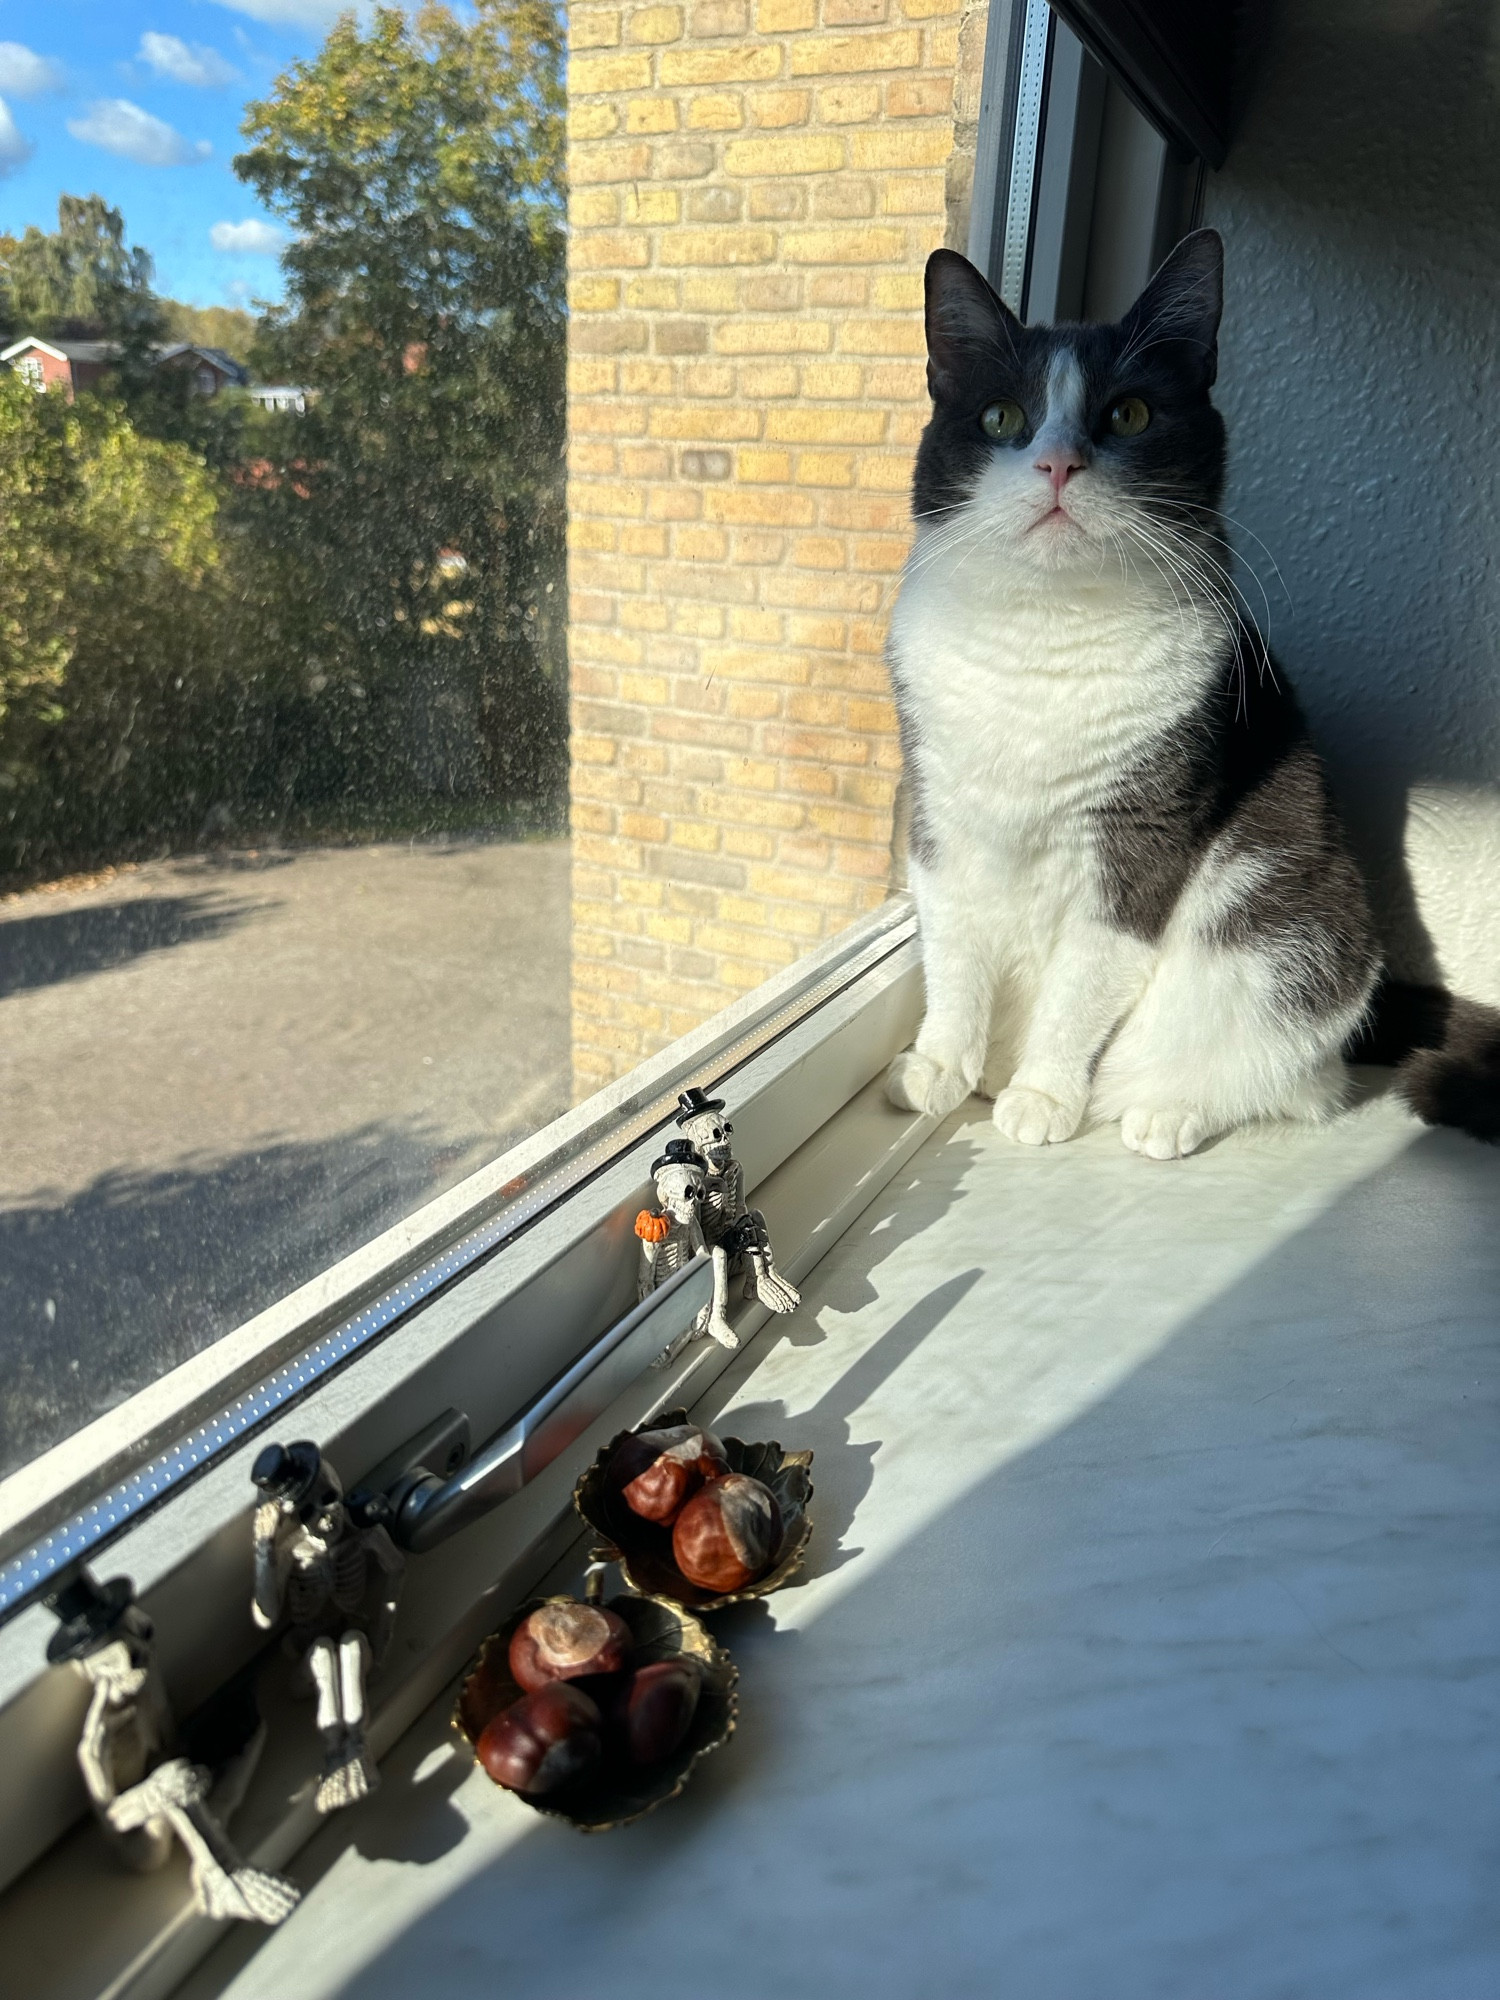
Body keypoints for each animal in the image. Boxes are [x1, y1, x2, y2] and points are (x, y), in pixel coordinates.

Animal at [888, 230, 1496, 1160]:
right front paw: (939, 1065)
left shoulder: (1145, 832)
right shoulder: (937, 803)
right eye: (1000, 419)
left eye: (1130, 415)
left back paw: (1164, 1111)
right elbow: (952, 941)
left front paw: (1042, 1093)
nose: (1058, 462)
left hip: (1295, 937)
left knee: (1295, 1076)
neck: (1046, 629)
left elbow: (1086, 976)